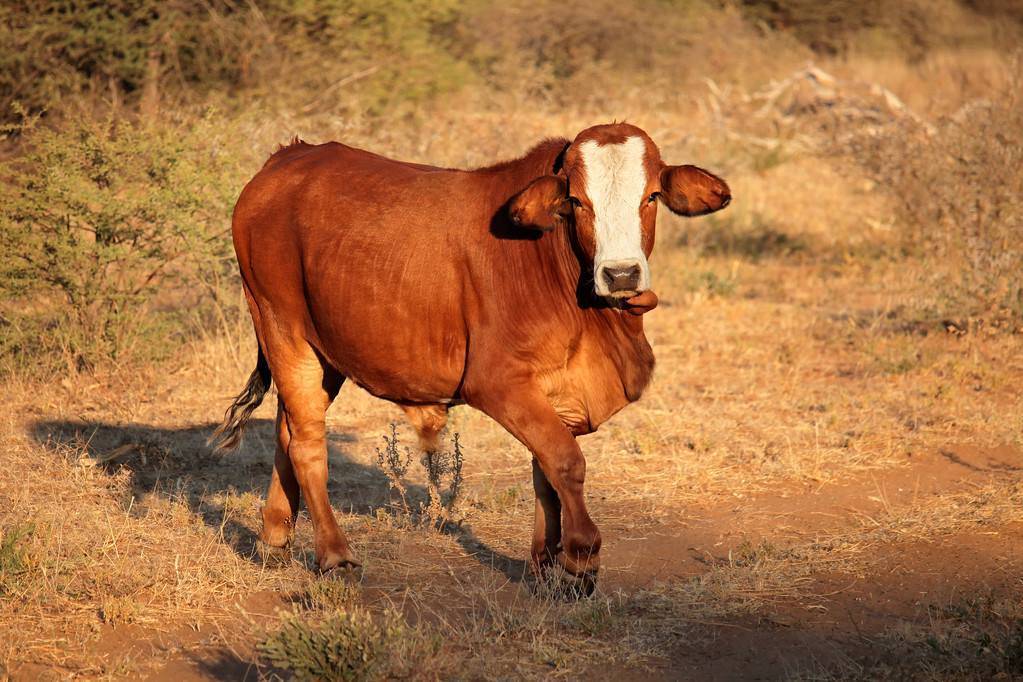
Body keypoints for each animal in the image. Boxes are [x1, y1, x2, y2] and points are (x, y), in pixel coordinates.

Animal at [213, 124, 728, 593]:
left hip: (324, 355)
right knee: (306, 442)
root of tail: (285, 160)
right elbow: (566, 462)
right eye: (578, 202)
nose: (621, 274)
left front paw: (544, 562)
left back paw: (275, 538)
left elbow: (544, 470)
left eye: (652, 196)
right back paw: (334, 556)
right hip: (283, 330)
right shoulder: (496, 382)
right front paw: (580, 561)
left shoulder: (550, 390)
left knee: (286, 431)